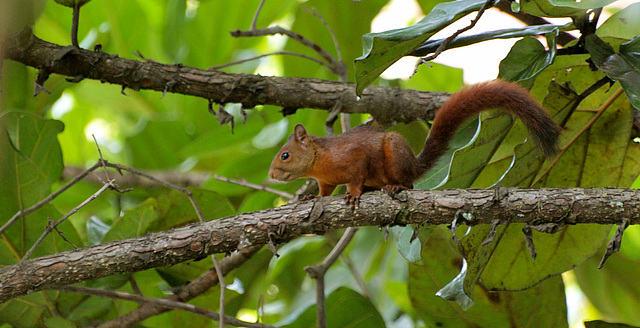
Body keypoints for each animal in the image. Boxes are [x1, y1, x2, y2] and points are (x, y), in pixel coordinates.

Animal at [268, 80, 560, 204]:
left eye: (285, 155)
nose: (271, 175)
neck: (320, 162)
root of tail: (412, 164)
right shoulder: (326, 180)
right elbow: (324, 192)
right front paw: (311, 196)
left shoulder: (353, 156)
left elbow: (356, 175)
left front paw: (352, 194)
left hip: (394, 156)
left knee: (408, 183)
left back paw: (395, 187)